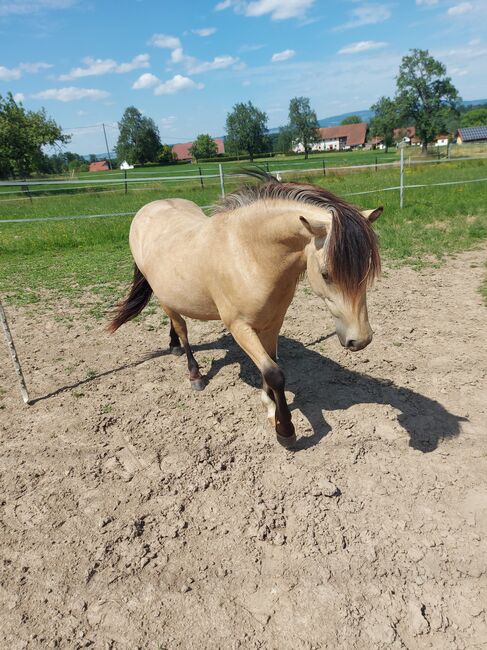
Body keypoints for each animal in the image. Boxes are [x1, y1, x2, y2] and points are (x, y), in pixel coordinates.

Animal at [108, 170, 384, 448]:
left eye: (367, 269)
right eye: (326, 274)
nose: (361, 340)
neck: (248, 254)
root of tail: (147, 210)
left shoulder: (273, 322)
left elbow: (270, 364)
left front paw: (270, 407)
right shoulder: (240, 328)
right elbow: (274, 373)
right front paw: (285, 430)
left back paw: (173, 346)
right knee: (182, 328)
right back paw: (195, 374)